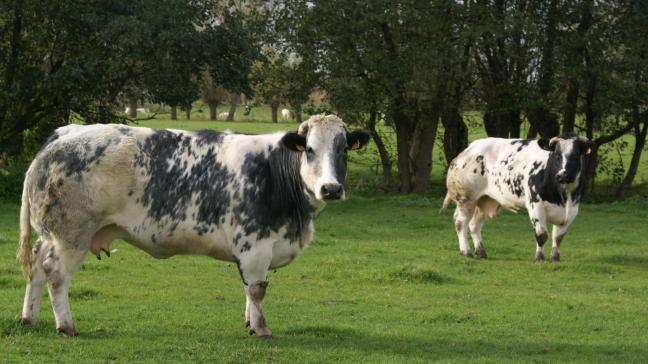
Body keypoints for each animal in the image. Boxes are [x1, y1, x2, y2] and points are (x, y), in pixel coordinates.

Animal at [16, 114, 370, 338]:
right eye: (309, 149)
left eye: (343, 150)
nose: (331, 188)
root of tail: (63, 134)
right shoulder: (254, 244)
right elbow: (257, 289)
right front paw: (261, 329)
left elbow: (248, 289)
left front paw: (249, 323)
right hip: (70, 234)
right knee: (56, 275)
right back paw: (66, 326)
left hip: (50, 234)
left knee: (35, 266)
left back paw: (29, 318)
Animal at [440, 134, 592, 262]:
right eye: (557, 155)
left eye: (575, 155)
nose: (562, 175)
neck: (563, 195)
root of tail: (468, 149)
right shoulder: (535, 205)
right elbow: (542, 235)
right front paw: (539, 258)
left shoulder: (572, 210)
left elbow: (558, 237)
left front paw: (555, 258)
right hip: (466, 199)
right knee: (460, 222)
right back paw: (466, 251)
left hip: (483, 200)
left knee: (474, 225)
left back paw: (481, 252)